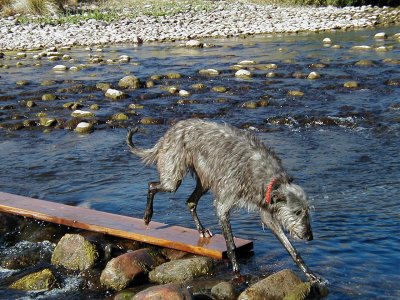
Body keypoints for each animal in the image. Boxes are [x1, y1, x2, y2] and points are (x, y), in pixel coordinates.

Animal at [128, 118, 322, 282]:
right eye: (297, 212)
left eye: (307, 211)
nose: (310, 236)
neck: (268, 178)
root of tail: (170, 132)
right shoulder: (224, 204)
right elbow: (231, 244)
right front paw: (236, 273)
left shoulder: (267, 210)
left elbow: (291, 248)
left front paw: (309, 273)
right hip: (173, 177)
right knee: (152, 185)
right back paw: (147, 216)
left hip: (204, 180)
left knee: (190, 201)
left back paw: (201, 230)